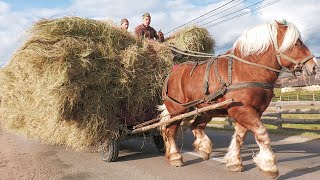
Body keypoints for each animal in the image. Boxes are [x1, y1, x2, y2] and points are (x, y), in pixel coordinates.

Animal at [159, 20, 318, 179]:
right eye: (297, 43)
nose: (314, 66)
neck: (247, 69)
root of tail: (171, 74)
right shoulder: (241, 109)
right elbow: (261, 133)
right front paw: (269, 166)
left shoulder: (252, 111)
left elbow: (240, 136)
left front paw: (234, 162)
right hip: (178, 112)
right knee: (170, 131)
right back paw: (175, 157)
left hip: (207, 110)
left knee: (195, 126)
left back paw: (203, 149)